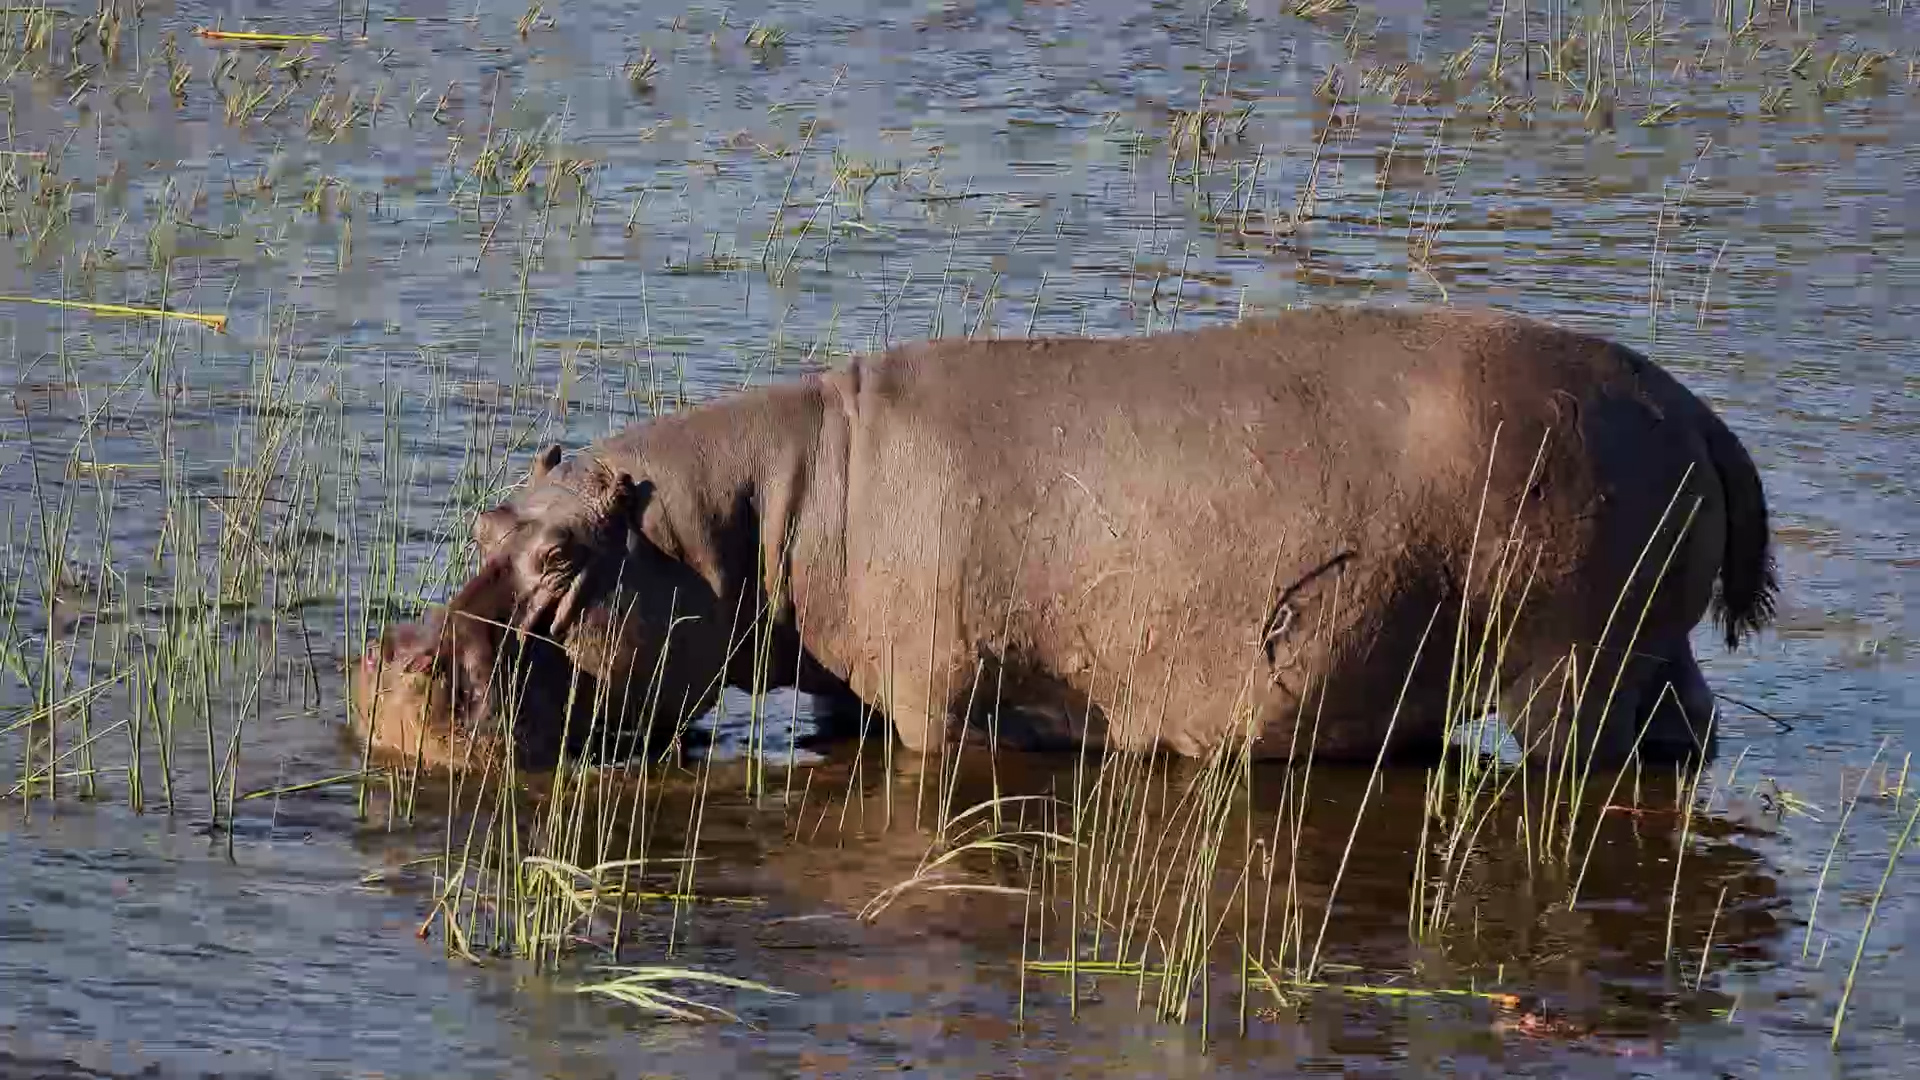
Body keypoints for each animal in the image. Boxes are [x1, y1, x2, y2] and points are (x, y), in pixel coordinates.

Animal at [370, 304, 1776, 772]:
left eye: (562, 563)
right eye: (487, 516)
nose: (390, 663)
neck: (744, 519)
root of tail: (1697, 407)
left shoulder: (943, 711)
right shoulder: (854, 699)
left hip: (1568, 666)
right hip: (1650, 656)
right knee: (1688, 734)